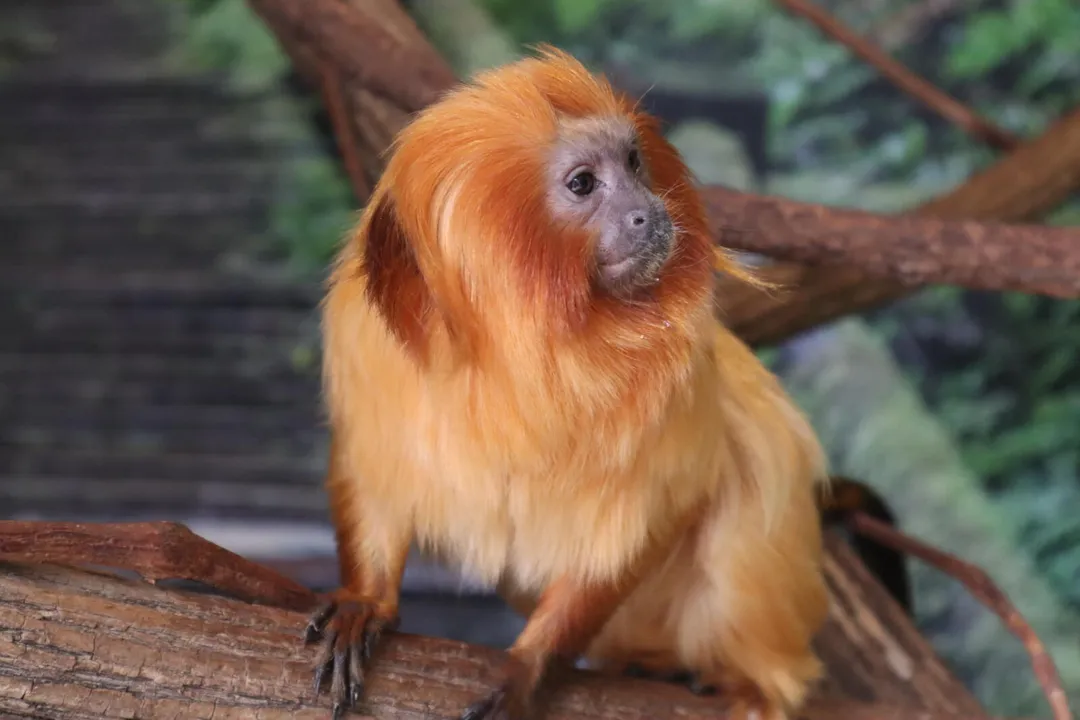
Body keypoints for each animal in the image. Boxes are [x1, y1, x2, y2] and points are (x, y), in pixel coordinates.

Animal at [306, 46, 838, 720]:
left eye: (633, 161)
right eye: (583, 183)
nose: (649, 212)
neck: (522, 351)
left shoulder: (678, 385)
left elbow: (649, 517)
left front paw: (529, 663)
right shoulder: (368, 352)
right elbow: (371, 478)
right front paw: (366, 601)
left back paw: (748, 685)